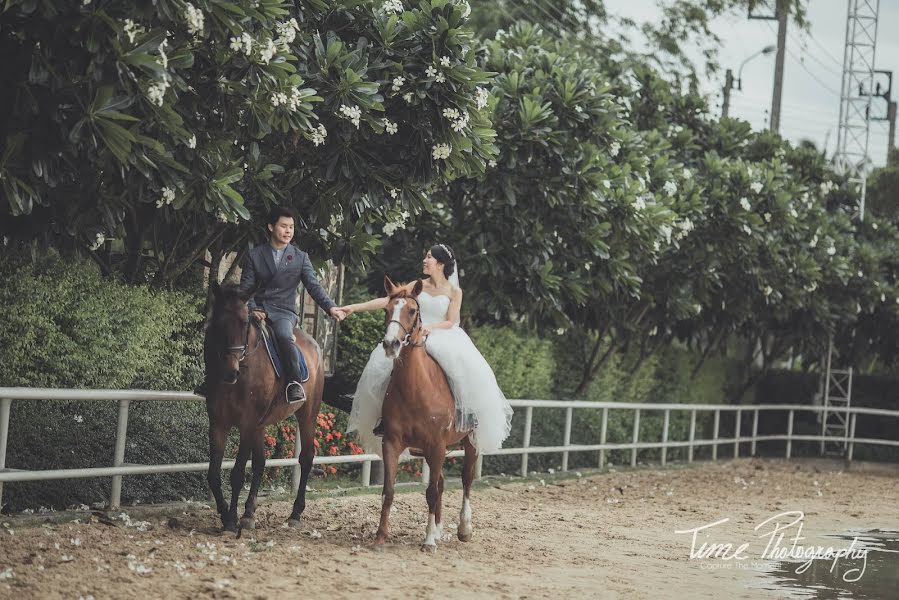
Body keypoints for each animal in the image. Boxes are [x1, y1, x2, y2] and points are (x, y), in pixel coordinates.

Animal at [204, 284, 324, 532]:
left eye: (244, 322)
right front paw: (225, 513)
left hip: (307, 414)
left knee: (306, 457)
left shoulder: (247, 423)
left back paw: (295, 514)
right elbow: (213, 474)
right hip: (261, 424)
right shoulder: (218, 422)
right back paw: (249, 514)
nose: (230, 372)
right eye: (218, 323)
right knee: (260, 462)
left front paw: (231, 520)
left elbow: (238, 473)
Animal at [372, 278, 478, 552]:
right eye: (386, 310)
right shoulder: (392, 443)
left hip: (469, 443)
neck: (416, 387)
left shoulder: (437, 445)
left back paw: (464, 529)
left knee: (466, 480)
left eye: (411, 311)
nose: (391, 344)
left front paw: (429, 541)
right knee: (440, 482)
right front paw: (380, 537)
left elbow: (431, 492)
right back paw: (439, 530)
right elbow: (389, 490)